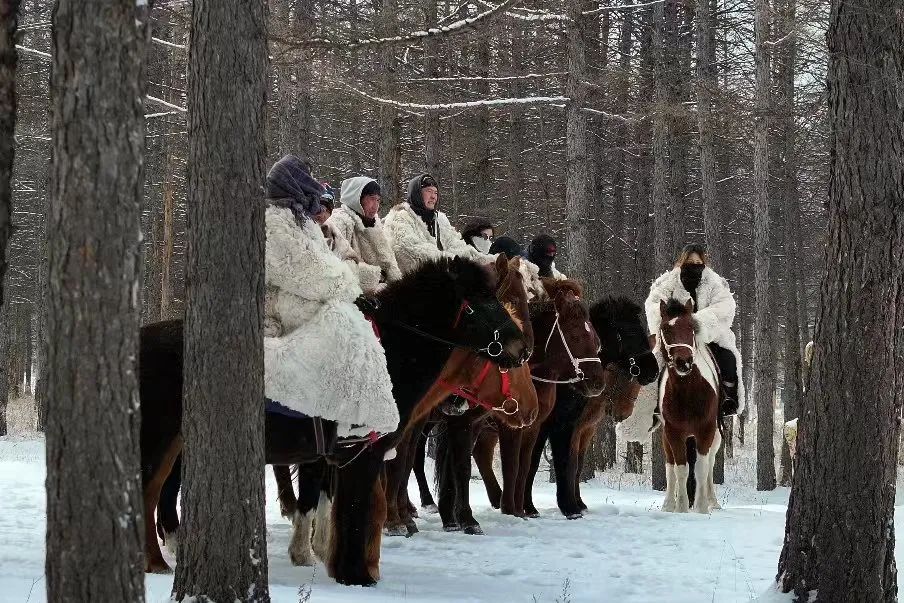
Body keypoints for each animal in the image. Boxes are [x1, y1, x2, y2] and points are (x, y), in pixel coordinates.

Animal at [138, 258, 528, 588]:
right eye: (483, 300)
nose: (520, 348)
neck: (388, 355)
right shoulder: (361, 455)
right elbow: (356, 511)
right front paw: (356, 575)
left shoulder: (331, 460)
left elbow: (332, 508)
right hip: (158, 445)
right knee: (148, 495)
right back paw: (155, 561)